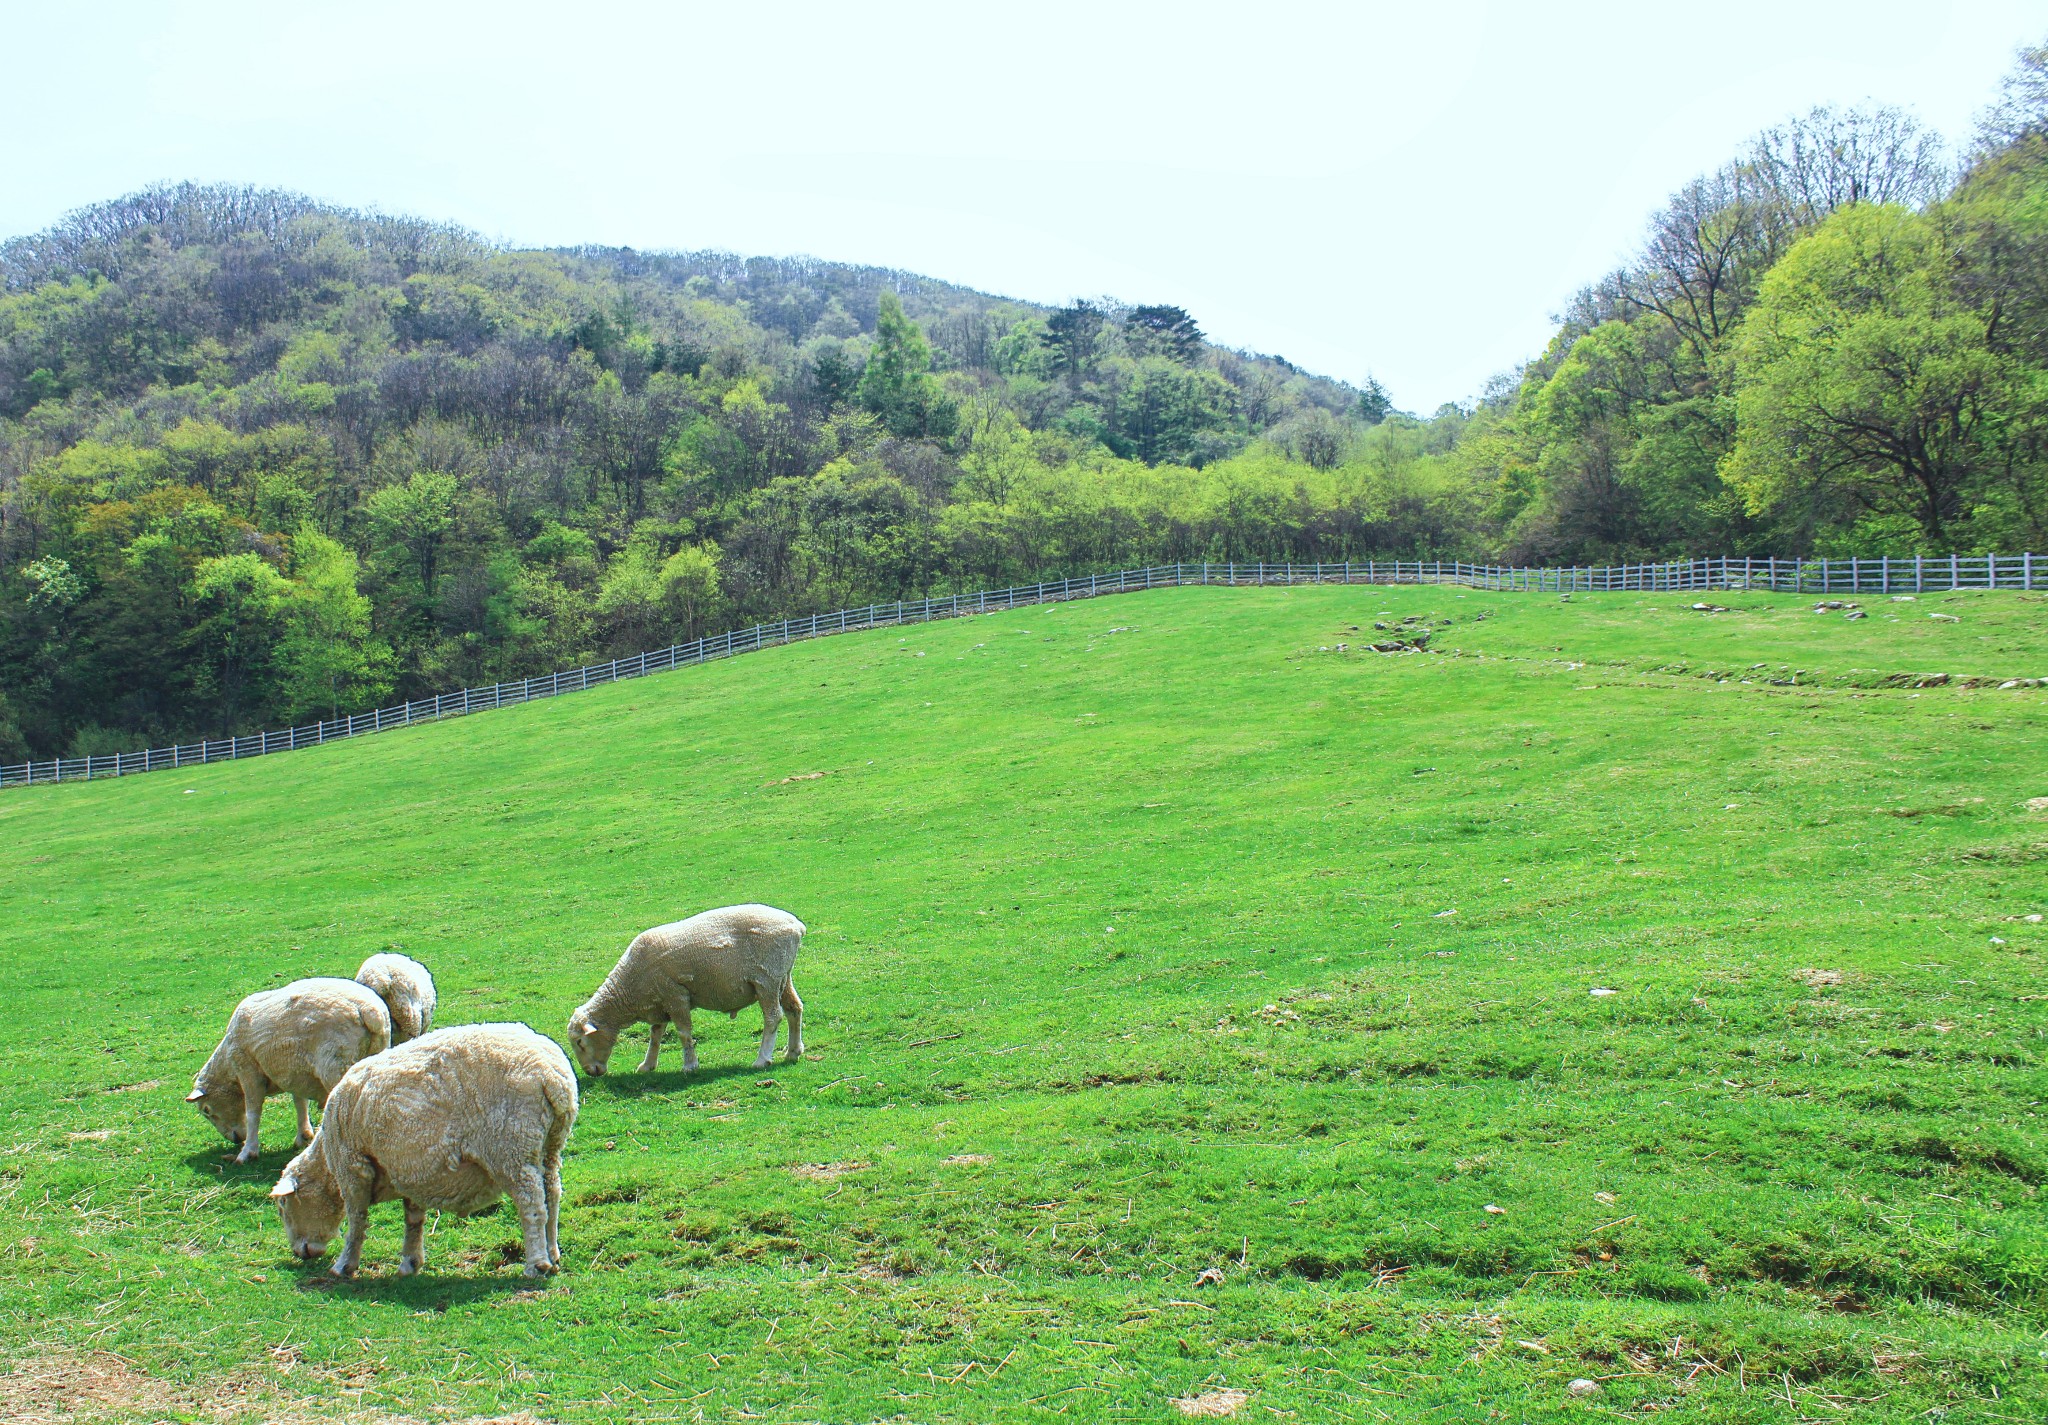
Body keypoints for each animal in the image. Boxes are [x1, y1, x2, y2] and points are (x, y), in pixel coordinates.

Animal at [188, 978, 391, 1171]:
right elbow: (300, 1103)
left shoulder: (248, 1070)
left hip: (336, 1065)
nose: (236, 1140)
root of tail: (370, 1012)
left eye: (206, 1110)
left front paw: (248, 1152)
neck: (228, 1068)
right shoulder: (295, 1074)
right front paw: (303, 1136)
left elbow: (253, 1112)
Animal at [268, 1023, 577, 1277]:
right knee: (552, 1195)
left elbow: (357, 1221)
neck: (327, 1164)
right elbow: (413, 1219)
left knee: (531, 1203)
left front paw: (344, 1265)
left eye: (283, 1207)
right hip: (549, 1145)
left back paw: (536, 1264)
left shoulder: (353, 1168)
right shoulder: (409, 1169)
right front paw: (410, 1262)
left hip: (510, 1149)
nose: (300, 1253)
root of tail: (552, 1077)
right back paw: (553, 1254)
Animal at [573, 909, 811, 1072]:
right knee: (794, 1009)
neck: (628, 988)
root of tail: (796, 926)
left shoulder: (674, 995)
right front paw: (647, 1065)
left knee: (773, 1017)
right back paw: (793, 1052)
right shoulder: (659, 1000)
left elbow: (683, 1032)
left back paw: (762, 1059)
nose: (591, 1072)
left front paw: (690, 1065)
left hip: (766, 979)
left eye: (579, 1042)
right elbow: (655, 1035)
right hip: (783, 976)